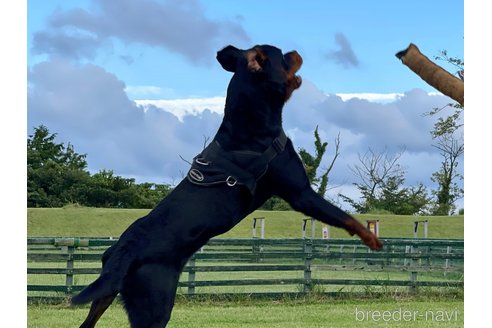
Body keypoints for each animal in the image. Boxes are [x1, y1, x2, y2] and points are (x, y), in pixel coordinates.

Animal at [71, 44, 382, 326]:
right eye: (283, 55)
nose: (296, 51)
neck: (251, 124)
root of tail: (122, 253)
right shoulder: (300, 193)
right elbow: (343, 216)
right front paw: (371, 238)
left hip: (106, 294)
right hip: (154, 305)